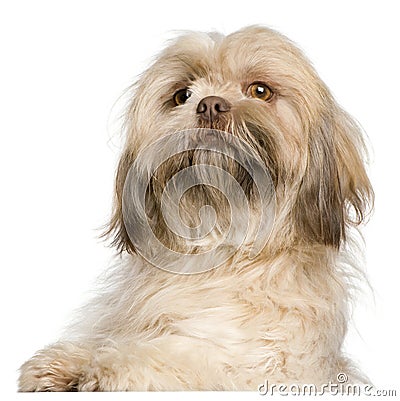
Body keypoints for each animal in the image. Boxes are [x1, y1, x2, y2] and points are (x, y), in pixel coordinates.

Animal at [18, 25, 374, 390]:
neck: (217, 241)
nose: (210, 105)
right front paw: (67, 361)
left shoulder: (259, 360)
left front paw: (109, 368)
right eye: (182, 95)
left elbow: (178, 357)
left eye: (260, 91)